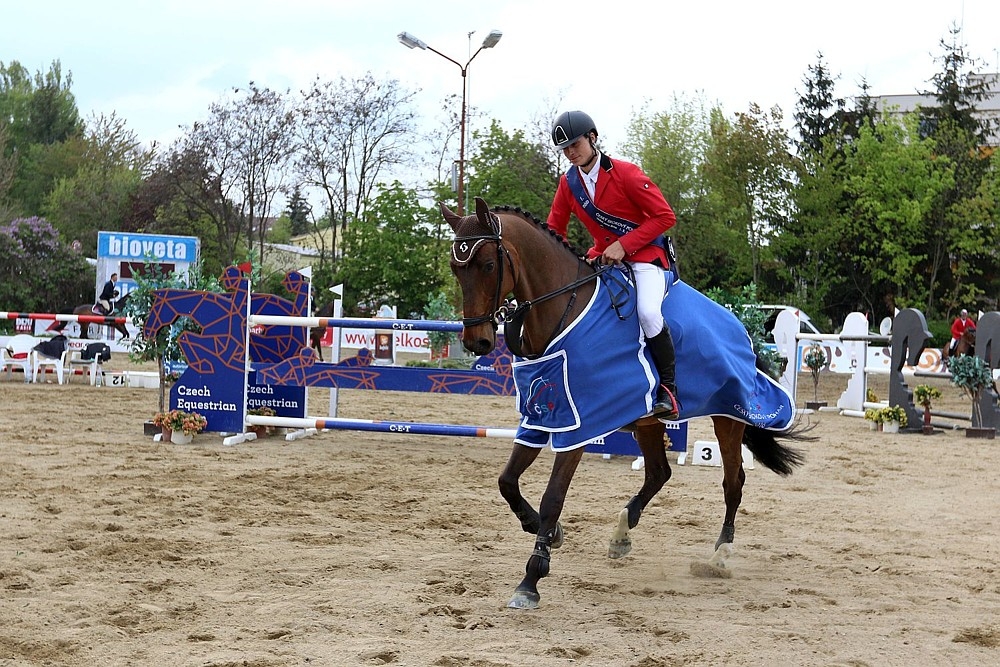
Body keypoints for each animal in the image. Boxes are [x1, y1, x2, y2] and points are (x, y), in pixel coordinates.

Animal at [443, 197, 808, 609]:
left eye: (489, 265)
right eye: (456, 268)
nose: (477, 342)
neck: (563, 310)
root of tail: (740, 327)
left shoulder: (579, 426)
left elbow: (553, 497)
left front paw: (531, 578)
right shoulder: (541, 419)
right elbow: (506, 482)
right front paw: (544, 530)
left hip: (728, 416)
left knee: (734, 481)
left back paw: (720, 554)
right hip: (647, 421)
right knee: (658, 473)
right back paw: (621, 533)